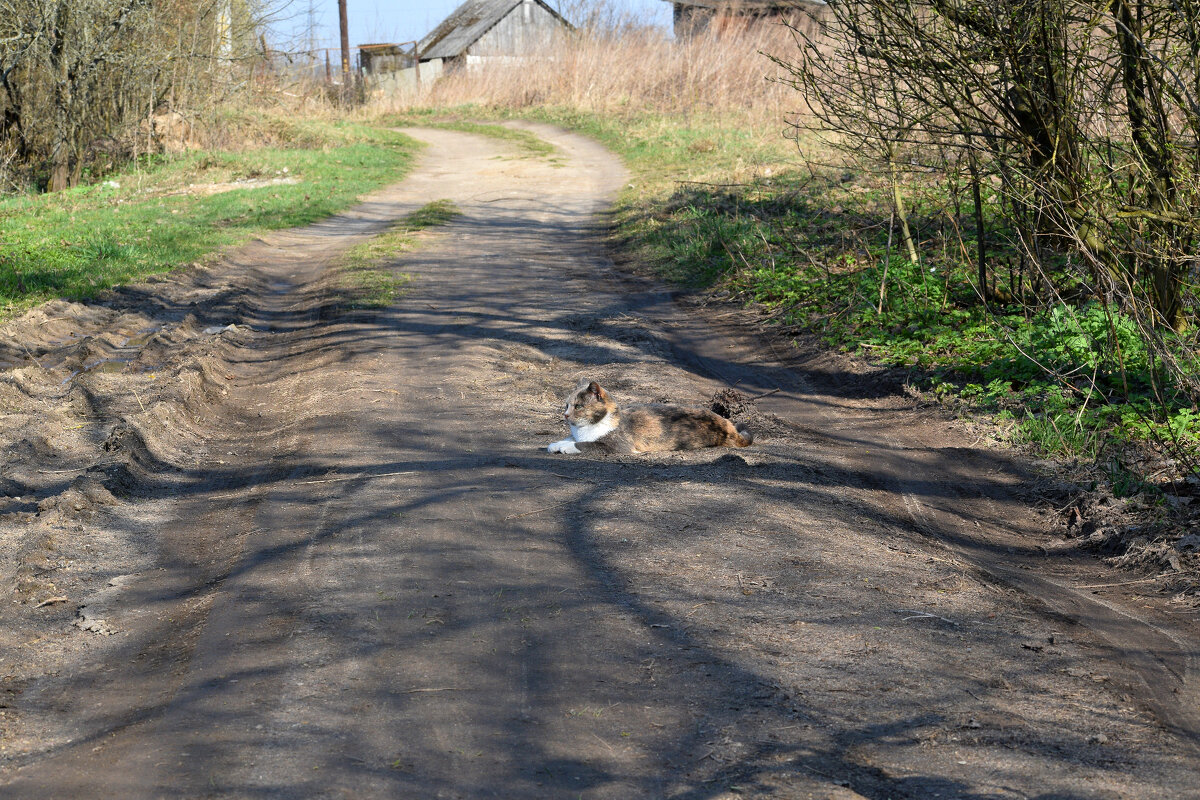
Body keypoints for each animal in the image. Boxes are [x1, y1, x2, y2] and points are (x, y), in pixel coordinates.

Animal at [547, 381, 748, 455]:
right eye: (566, 405)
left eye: (578, 406)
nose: (565, 415)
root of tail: (727, 423)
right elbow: (571, 438)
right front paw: (556, 444)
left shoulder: (618, 446)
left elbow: (585, 444)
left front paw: (567, 447)